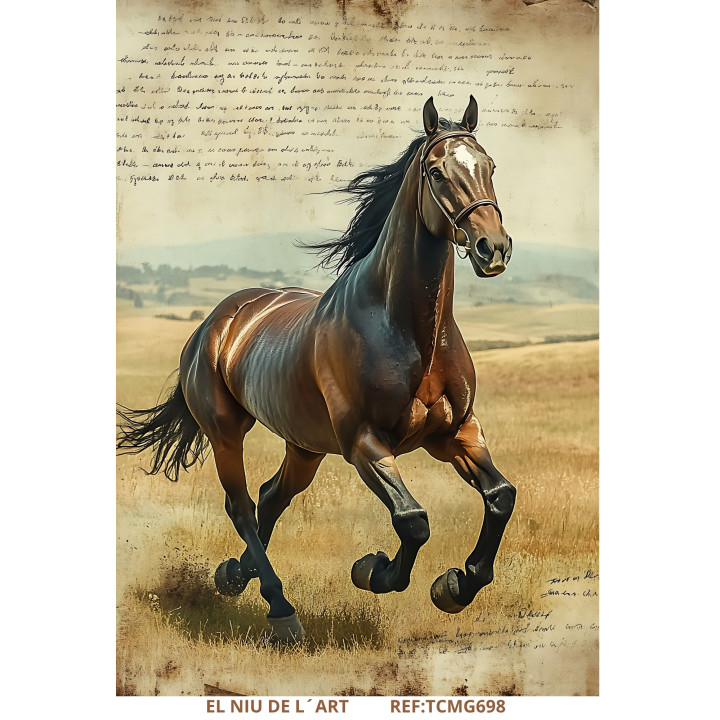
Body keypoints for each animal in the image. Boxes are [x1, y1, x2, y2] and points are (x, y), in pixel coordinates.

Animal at [117, 96, 516, 642]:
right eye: (437, 172)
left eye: (490, 167)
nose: (492, 248)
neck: (404, 328)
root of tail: (216, 323)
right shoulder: (364, 443)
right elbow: (413, 520)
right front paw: (373, 571)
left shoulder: (455, 433)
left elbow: (500, 496)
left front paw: (455, 586)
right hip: (226, 433)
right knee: (242, 506)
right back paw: (280, 608)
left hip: (304, 445)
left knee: (270, 498)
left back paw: (233, 576)